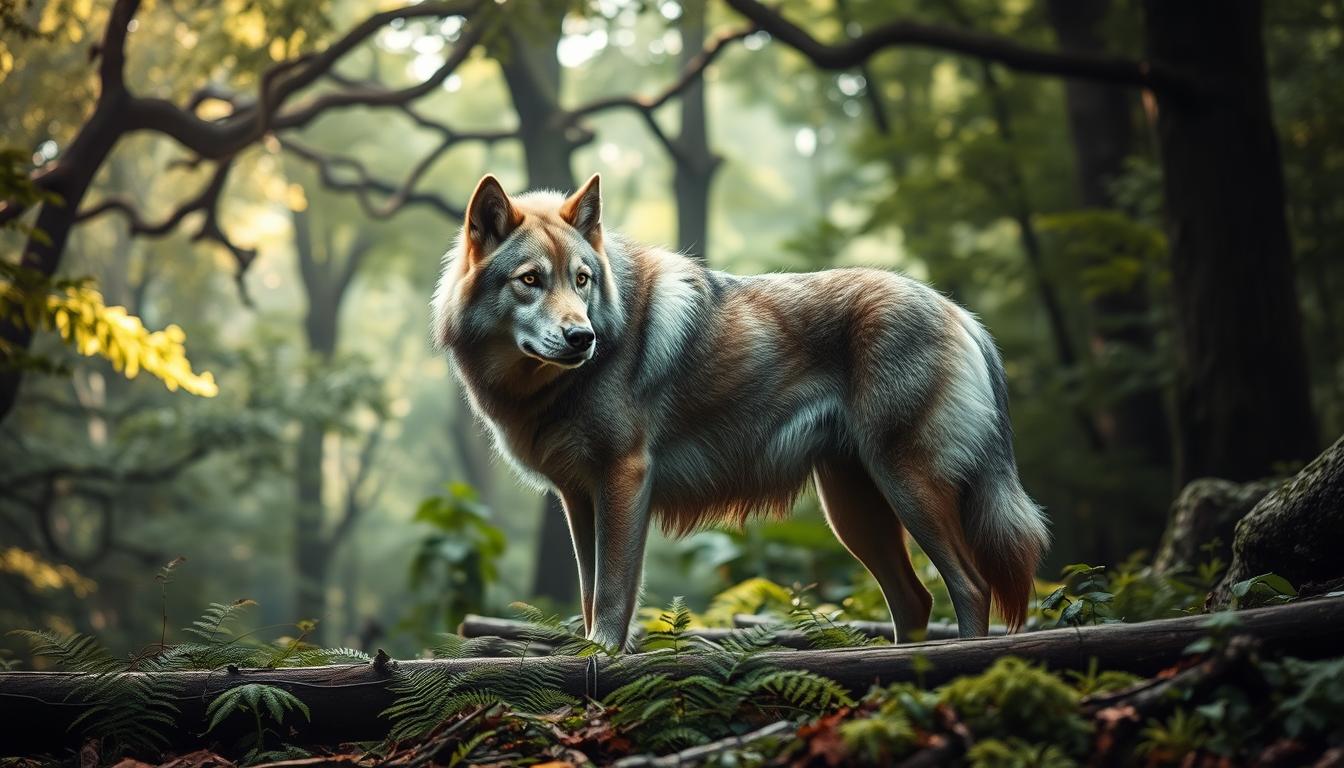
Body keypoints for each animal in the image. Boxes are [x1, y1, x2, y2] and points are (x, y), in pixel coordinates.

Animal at [432, 173, 1049, 650]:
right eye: (531, 280)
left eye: (581, 280)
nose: (583, 337)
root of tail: (958, 312)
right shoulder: (579, 500)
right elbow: (589, 594)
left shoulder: (624, 480)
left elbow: (610, 595)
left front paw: (600, 656)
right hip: (855, 512)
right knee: (915, 599)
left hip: (906, 486)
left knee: (970, 587)